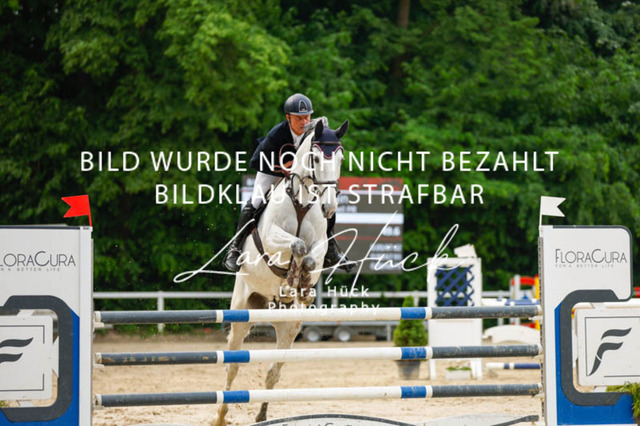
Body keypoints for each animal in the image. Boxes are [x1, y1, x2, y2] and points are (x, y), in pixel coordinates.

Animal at [214, 117, 348, 425]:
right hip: (241, 311)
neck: (301, 200)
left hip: (289, 328)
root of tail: (268, 307)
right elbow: (296, 246)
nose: (330, 206)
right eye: (315, 158)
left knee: (273, 373)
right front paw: (290, 281)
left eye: (340, 158)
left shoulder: (320, 245)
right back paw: (221, 416)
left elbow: (310, 258)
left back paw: (262, 414)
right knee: (232, 367)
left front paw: (302, 286)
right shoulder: (273, 239)